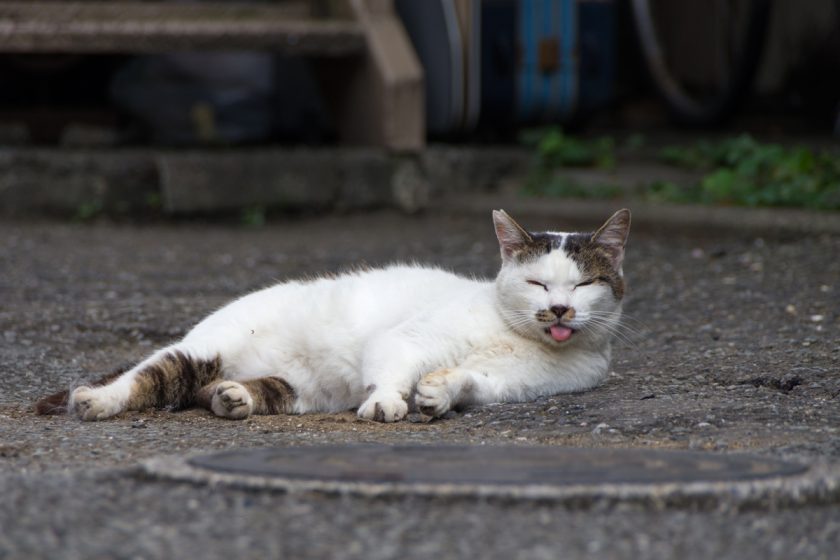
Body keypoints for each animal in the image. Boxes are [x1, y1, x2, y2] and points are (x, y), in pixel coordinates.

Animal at [37, 208, 632, 422]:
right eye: (537, 283)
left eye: (583, 285)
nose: (559, 308)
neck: (514, 337)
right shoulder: (404, 340)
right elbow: (392, 370)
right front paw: (390, 401)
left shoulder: (508, 383)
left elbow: (467, 381)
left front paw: (439, 394)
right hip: (202, 348)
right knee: (150, 375)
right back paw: (95, 401)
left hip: (296, 391)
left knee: (215, 391)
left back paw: (232, 398)